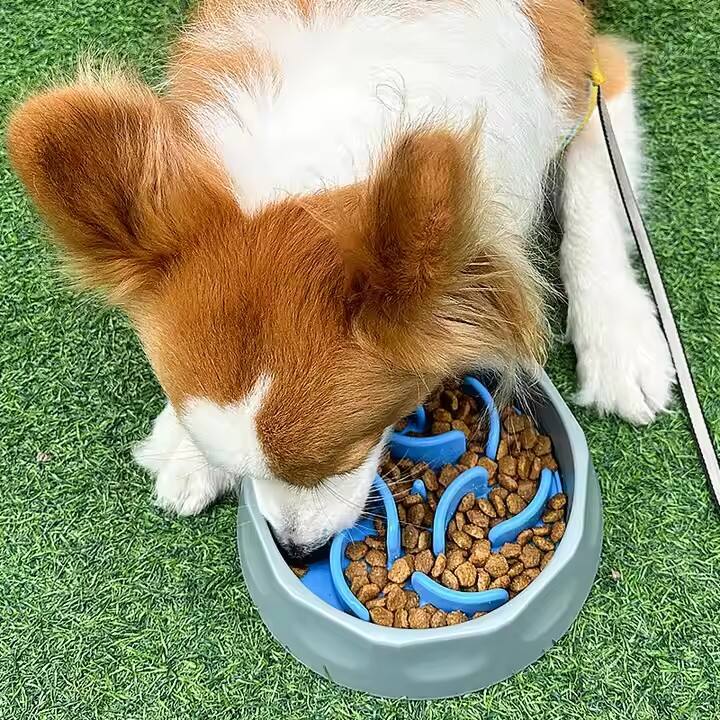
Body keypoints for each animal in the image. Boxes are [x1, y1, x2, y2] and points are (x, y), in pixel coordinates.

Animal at [5, 0, 672, 556]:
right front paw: (189, 449)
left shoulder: (590, 81)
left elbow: (595, 204)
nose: (298, 549)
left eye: (351, 450)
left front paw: (619, 343)